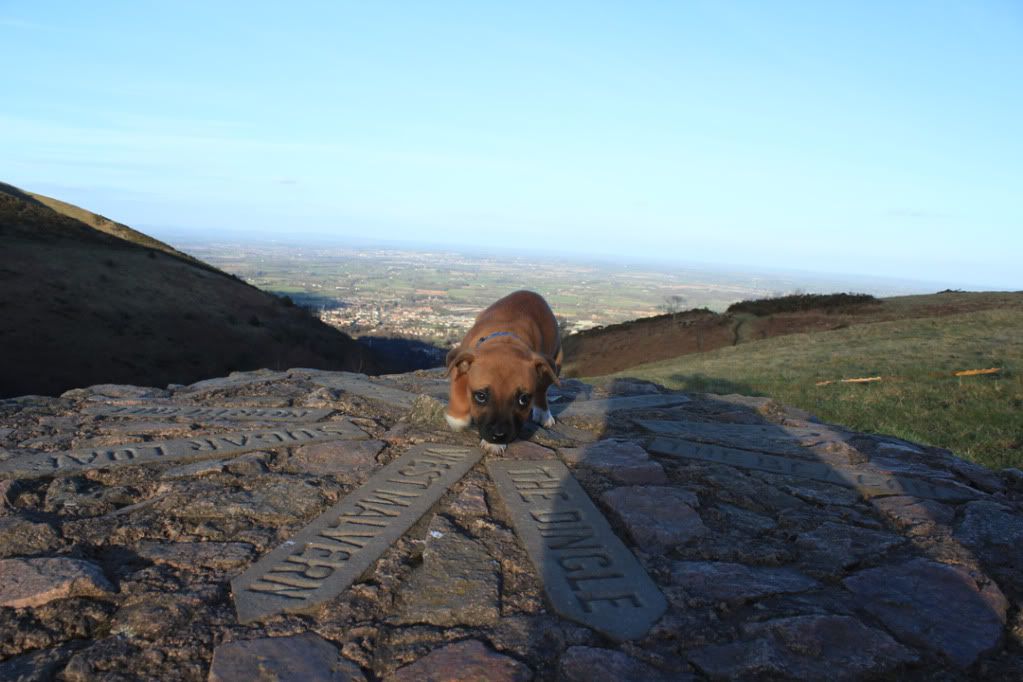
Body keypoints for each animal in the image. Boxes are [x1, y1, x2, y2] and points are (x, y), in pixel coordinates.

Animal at [446, 290, 564, 453]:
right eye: (481, 396)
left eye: (524, 399)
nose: (499, 435)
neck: (505, 338)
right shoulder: (462, 359)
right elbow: (458, 386)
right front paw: (457, 417)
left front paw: (493, 444)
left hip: (555, 362)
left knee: (542, 389)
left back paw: (543, 413)